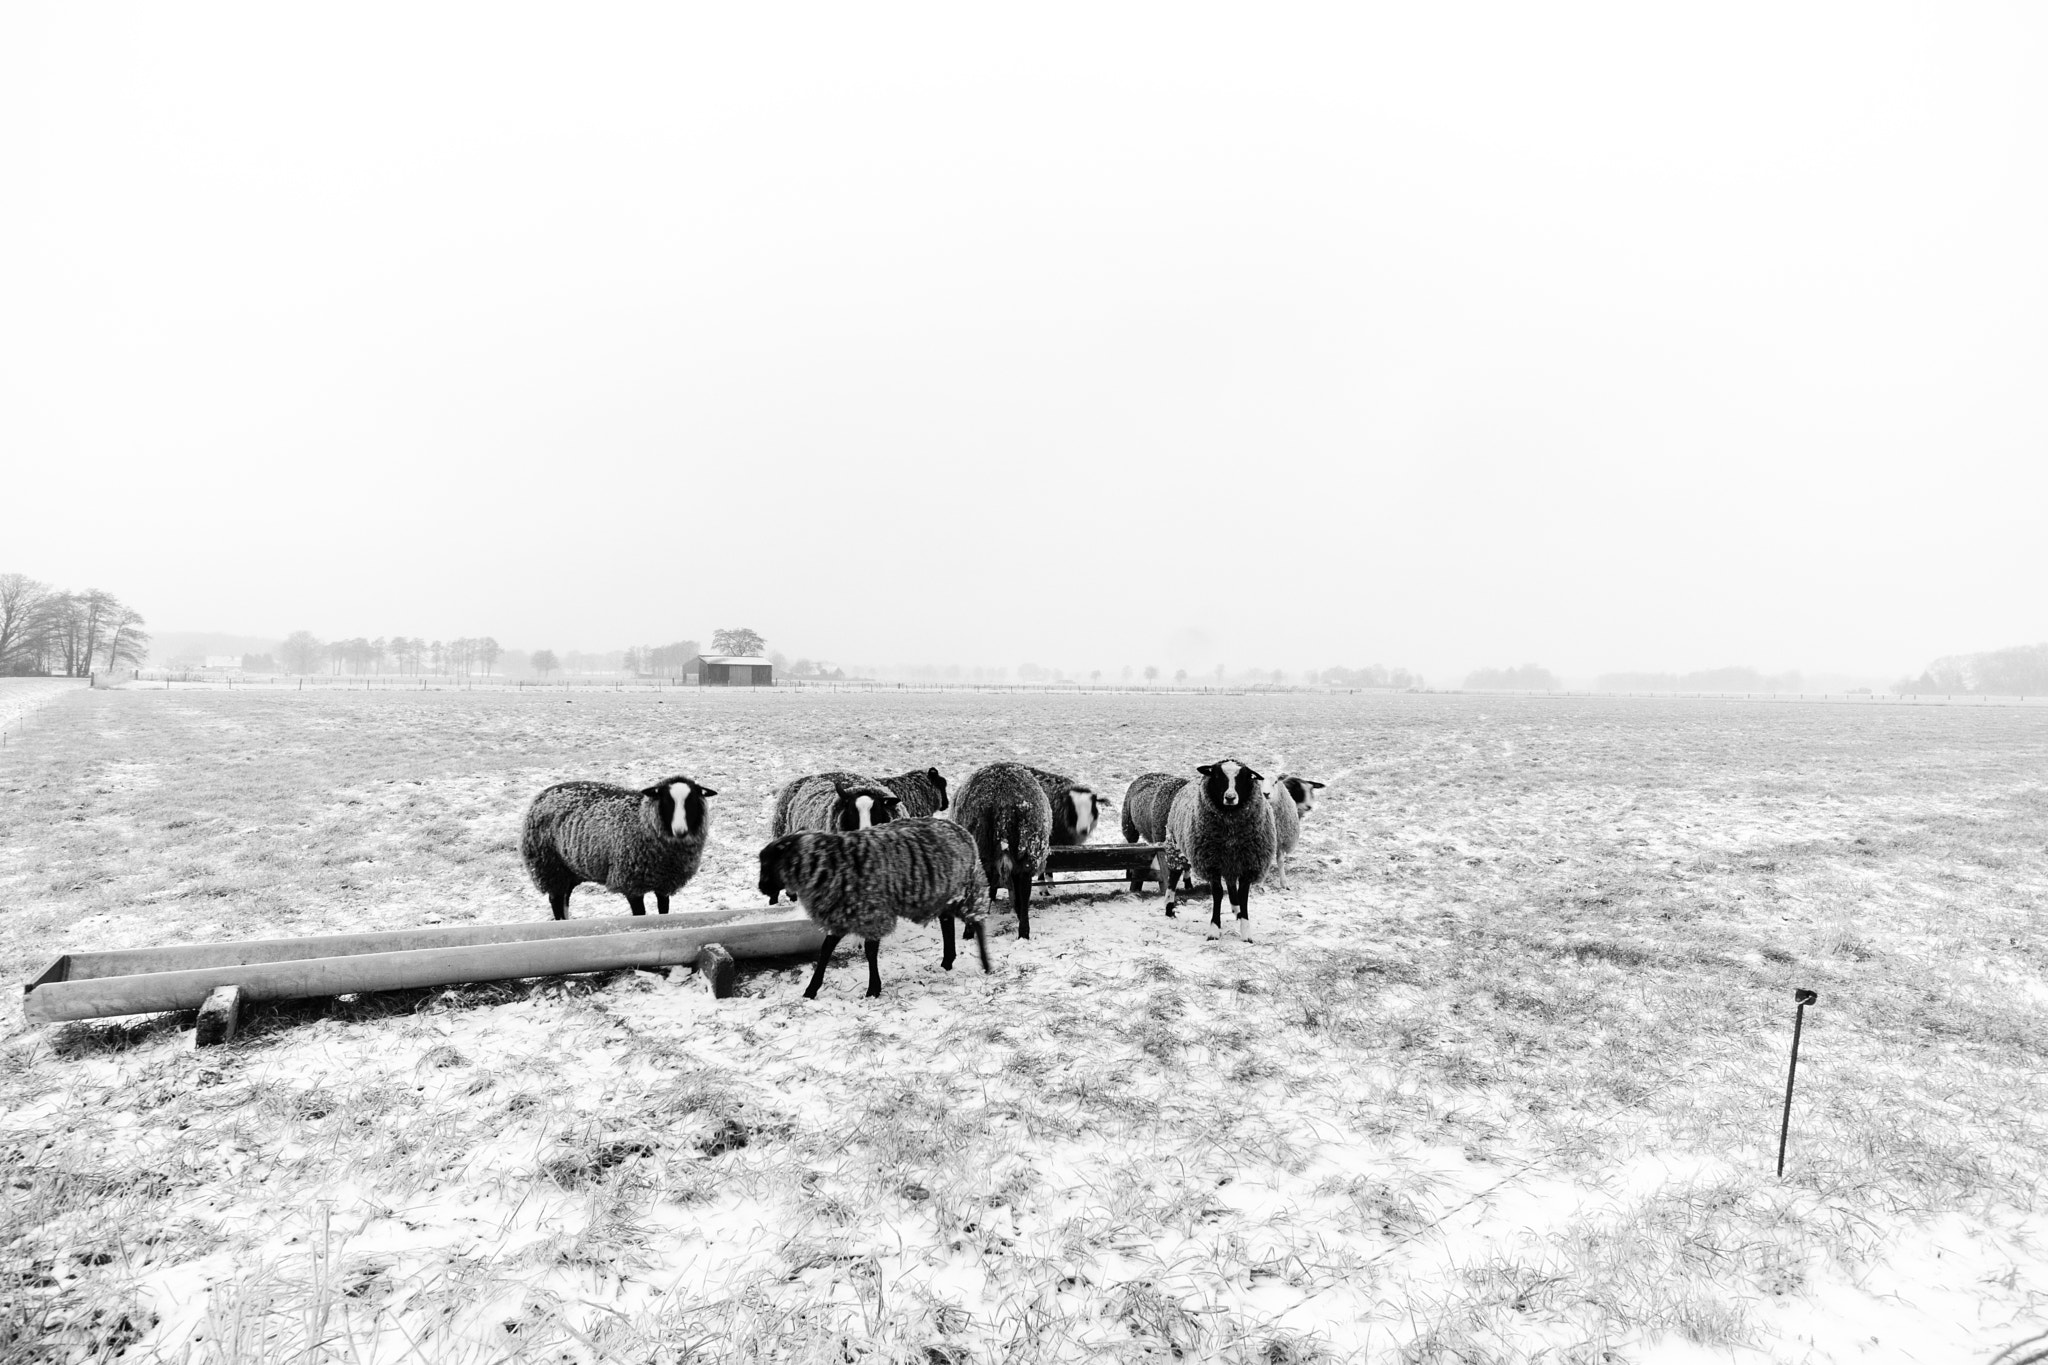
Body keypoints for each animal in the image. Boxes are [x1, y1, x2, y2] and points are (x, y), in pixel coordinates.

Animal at [520, 773, 720, 925]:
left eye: (692, 802)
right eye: (666, 802)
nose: (680, 830)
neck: (642, 820)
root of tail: (542, 795)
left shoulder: (663, 883)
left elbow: (664, 911)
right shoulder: (630, 883)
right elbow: (640, 914)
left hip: (569, 869)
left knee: (564, 898)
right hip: (549, 865)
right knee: (555, 899)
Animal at [765, 818, 995, 998]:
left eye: (769, 863)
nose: (762, 887)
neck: (831, 863)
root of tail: (961, 830)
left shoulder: (872, 915)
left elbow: (870, 951)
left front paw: (873, 989)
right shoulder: (842, 915)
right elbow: (826, 948)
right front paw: (811, 990)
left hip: (969, 889)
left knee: (977, 922)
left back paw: (986, 964)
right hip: (945, 894)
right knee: (947, 922)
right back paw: (947, 962)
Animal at [950, 757, 1056, 941]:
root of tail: (1003, 801)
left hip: (982, 850)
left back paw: (969, 932)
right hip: (1027, 852)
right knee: (1024, 893)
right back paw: (1023, 933)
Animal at [1163, 757, 1269, 941]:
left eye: (1244, 777)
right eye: (1218, 776)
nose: (1230, 797)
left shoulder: (1247, 864)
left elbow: (1243, 896)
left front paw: (1246, 931)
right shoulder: (1211, 863)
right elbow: (1218, 893)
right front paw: (1214, 929)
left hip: (1230, 863)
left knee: (1231, 885)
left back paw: (1236, 910)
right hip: (1175, 846)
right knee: (1173, 876)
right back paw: (1169, 907)